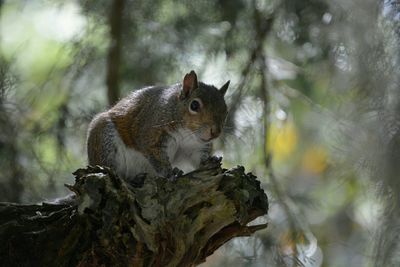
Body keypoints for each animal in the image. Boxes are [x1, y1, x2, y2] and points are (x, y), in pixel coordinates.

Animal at [87, 70, 230, 181]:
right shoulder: (151, 133)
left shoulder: (195, 147)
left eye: (226, 110)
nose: (215, 132)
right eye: (194, 105)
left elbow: (198, 158)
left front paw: (210, 161)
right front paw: (170, 173)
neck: (187, 134)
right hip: (103, 139)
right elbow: (157, 157)